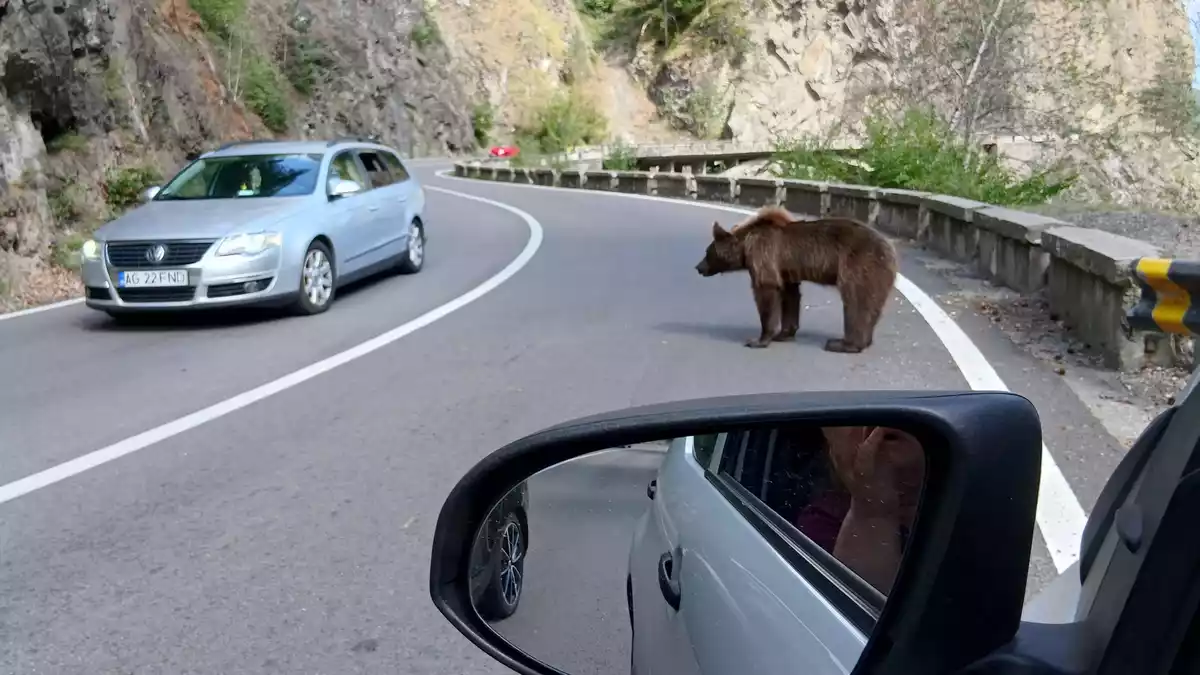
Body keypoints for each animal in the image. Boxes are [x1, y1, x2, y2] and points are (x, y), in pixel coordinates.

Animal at [694, 206, 898, 353]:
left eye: (707, 252)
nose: (698, 267)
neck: (745, 246)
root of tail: (890, 249)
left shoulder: (764, 255)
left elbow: (767, 290)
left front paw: (759, 339)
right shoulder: (785, 270)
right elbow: (789, 295)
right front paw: (784, 333)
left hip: (858, 265)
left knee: (856, 300)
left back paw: (844, 344)